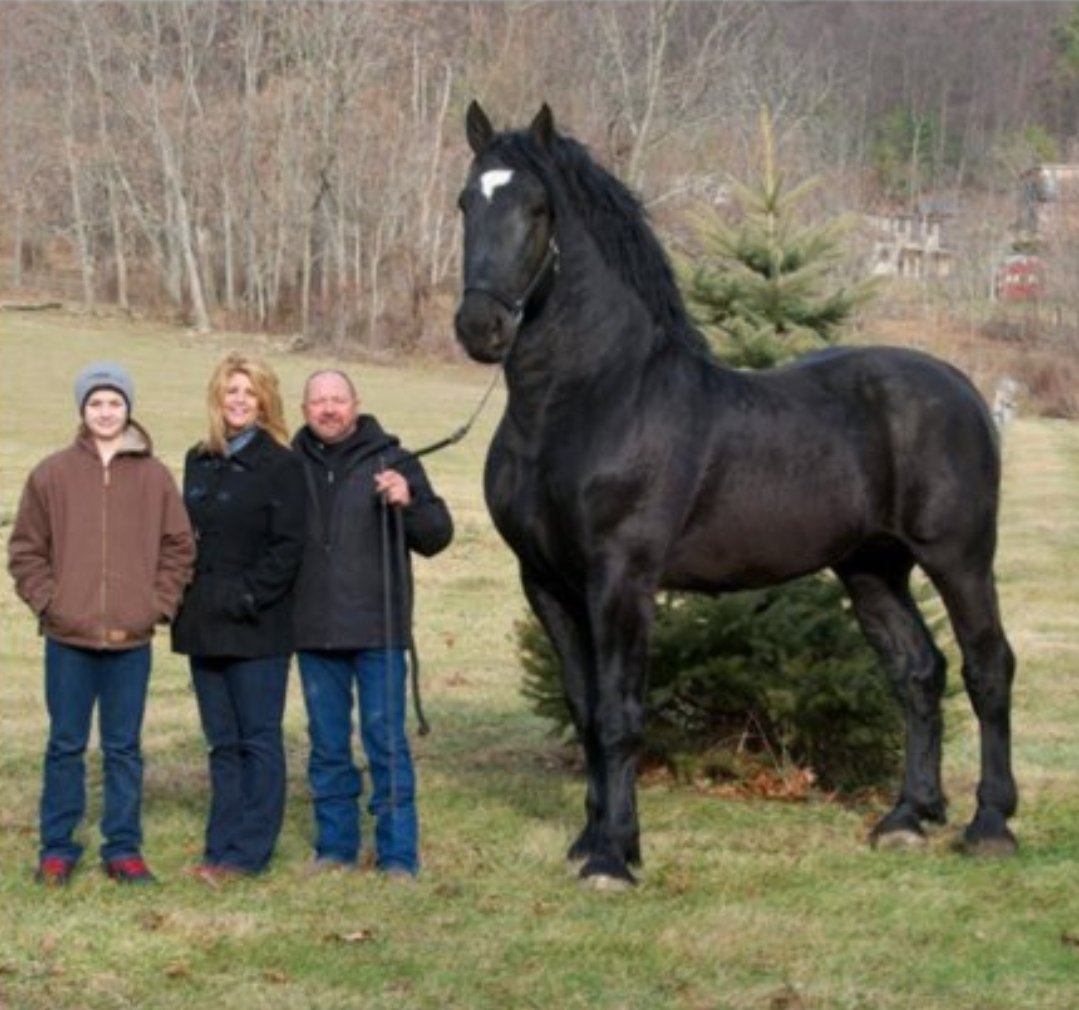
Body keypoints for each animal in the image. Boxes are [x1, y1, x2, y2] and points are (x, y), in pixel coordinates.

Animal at [453, 101, 1017, 888]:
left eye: (536, 208)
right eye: (466, 203)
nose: (480, 327)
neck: (590, 400)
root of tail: (961, 386)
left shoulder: (620, 580)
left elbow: (620, 714)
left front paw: (614, 857)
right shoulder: (546, 583)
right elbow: (585, 709)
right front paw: (592, 838)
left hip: (958, 558)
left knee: (987, 667)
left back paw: (990, 824)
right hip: (872, 567)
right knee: (918, 673)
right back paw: (907, 818)